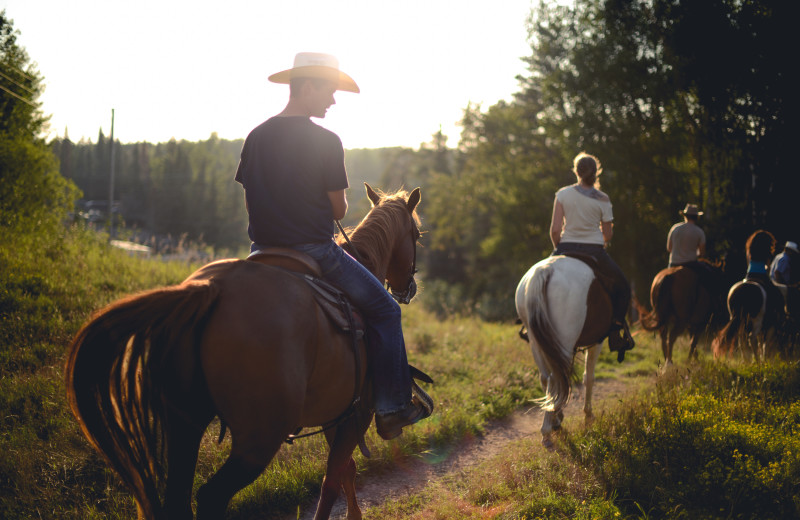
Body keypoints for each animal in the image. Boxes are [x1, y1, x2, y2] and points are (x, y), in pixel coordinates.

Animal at [67, 184, 424, 520]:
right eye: (417, 234)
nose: (409, 288)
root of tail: (211, 289)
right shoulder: (358, 413)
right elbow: (332, 480)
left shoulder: (338, 415)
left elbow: (345, 470)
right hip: (258, 439)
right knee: (211, 497)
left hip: (185, 424)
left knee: (178, 500)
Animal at [516, 255, 616, 446]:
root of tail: (546, 270)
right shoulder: (597, 342)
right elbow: (589, 377)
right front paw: (588, 415)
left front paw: (558, 416)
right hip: (564, 341)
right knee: (558, 378)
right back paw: (547, 430)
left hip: (536, 342)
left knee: (547, 378)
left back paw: (552, 420)